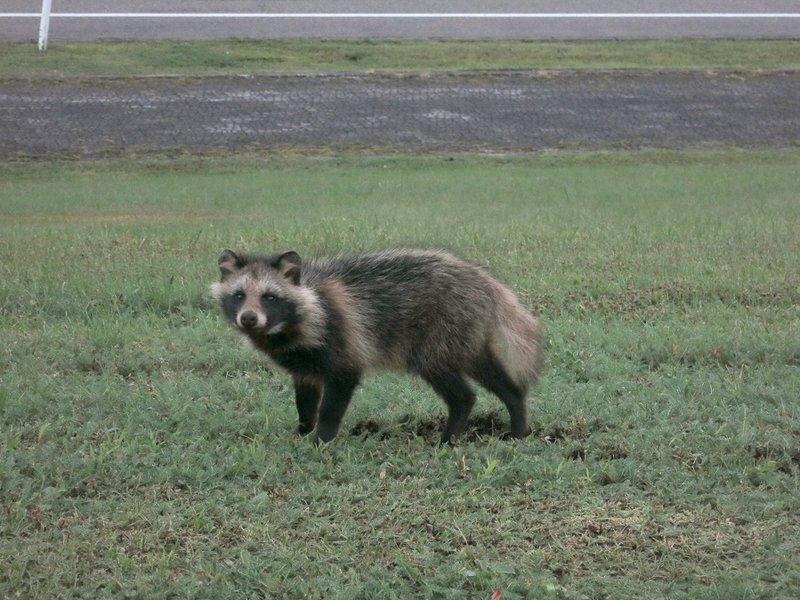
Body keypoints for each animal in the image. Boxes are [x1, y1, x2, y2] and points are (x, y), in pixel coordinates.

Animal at [211, 248, 544, 446]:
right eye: (239, 295)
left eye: (269, 297)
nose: (248, 319)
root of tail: (488, 285)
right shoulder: (304, 364)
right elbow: (305, 399)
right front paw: (304, 430)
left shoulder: (340, 346)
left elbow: (333, 401)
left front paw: (321, 440)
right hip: (467, 338)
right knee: (497, 377)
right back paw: (516, 415)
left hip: (441, 333)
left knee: (460, 392)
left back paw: (449, 435)